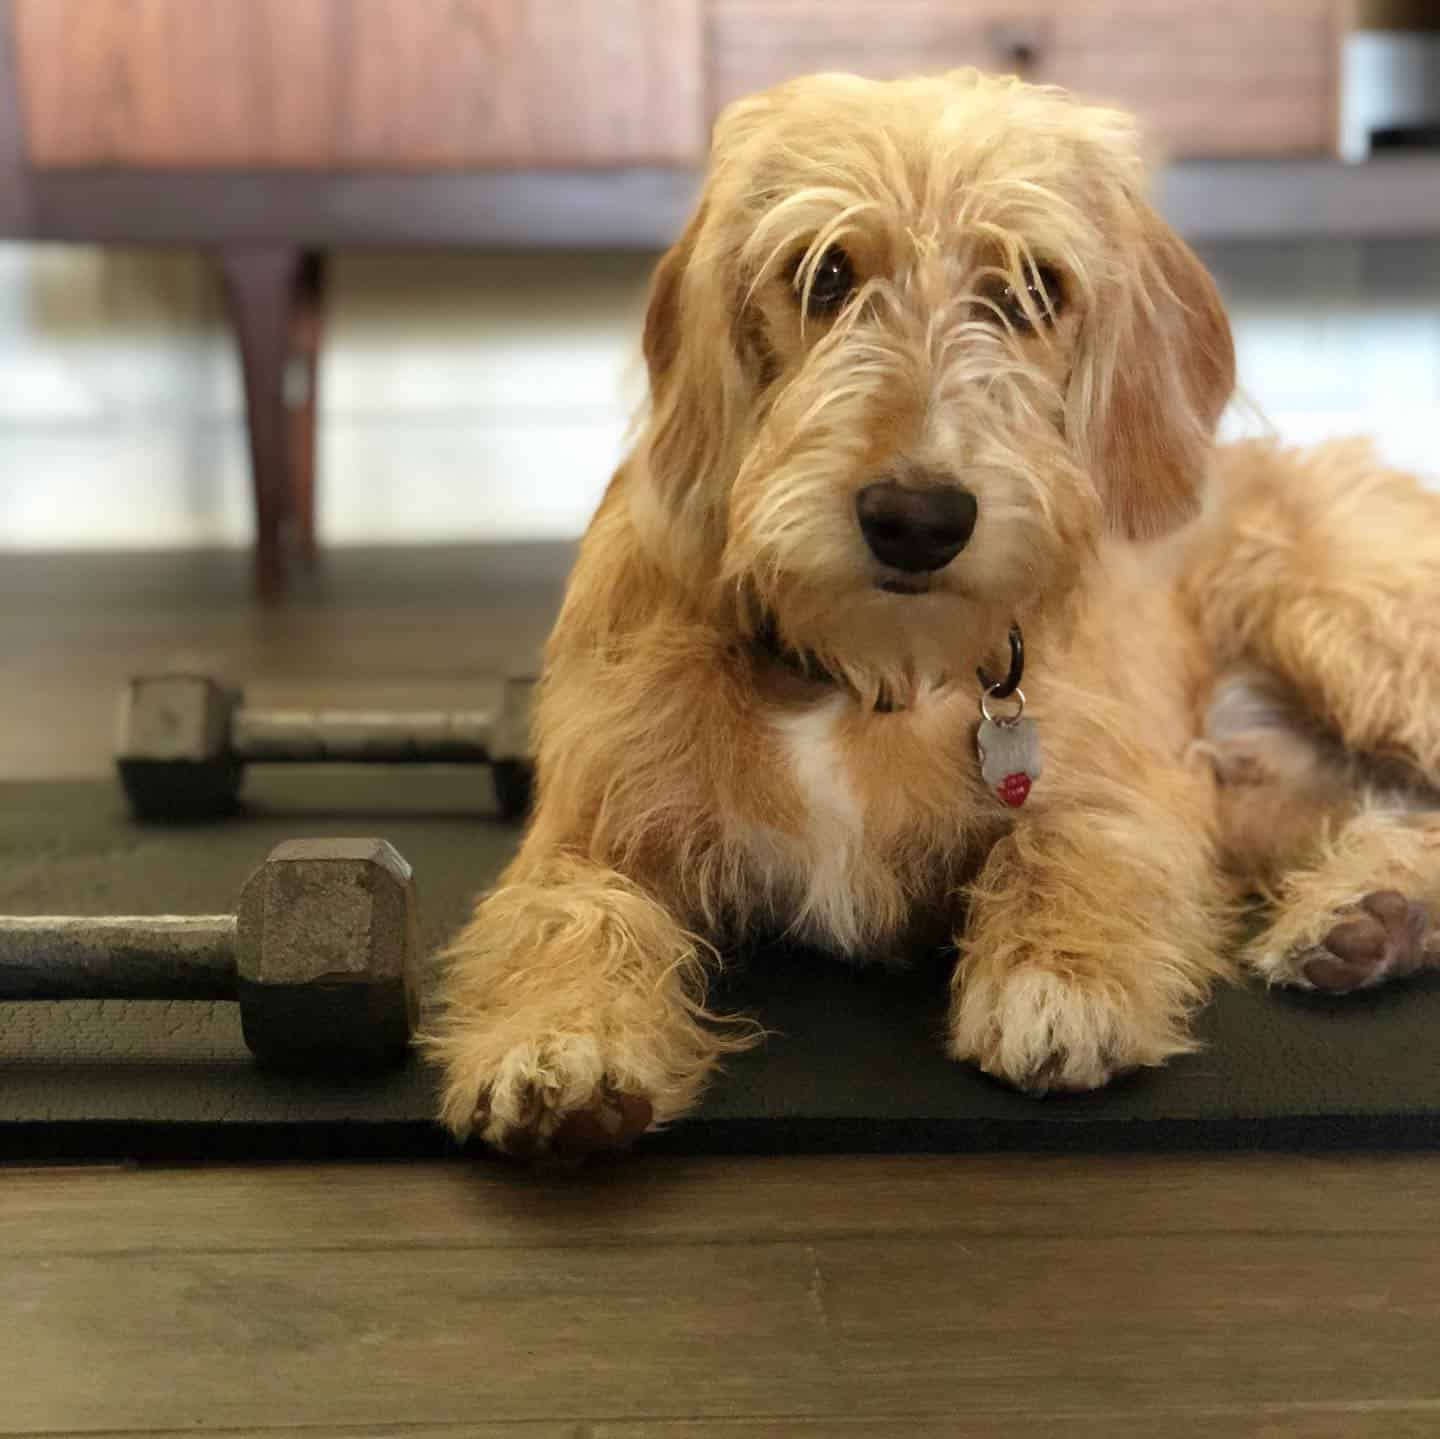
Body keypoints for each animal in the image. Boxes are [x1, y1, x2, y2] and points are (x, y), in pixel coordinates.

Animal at [420, 67, 1440, 1158]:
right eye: (822, 275)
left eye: (1035, 288)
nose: (918, 519)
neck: (862, 671)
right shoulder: (592, 822)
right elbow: (567, 910)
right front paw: (557, 1034)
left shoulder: (1134, 788)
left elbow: (1070, 845)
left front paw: (1058, 977)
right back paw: (1372, 911)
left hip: (1353, 631)